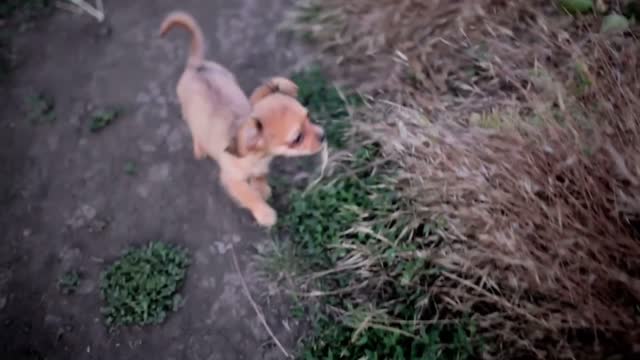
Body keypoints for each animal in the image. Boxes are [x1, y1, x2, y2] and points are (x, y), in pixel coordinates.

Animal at [160, 11, 324, 228]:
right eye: (297, 138)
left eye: (308, 116)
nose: (324, 136)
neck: (259, 157)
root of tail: (197, 65)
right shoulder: (231, 180)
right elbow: (248, 196)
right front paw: (264, 213)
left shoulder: (261, 167)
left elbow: (260, 178)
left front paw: (261, 188)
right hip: (188, 113)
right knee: (194, 130)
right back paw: (199, 148)